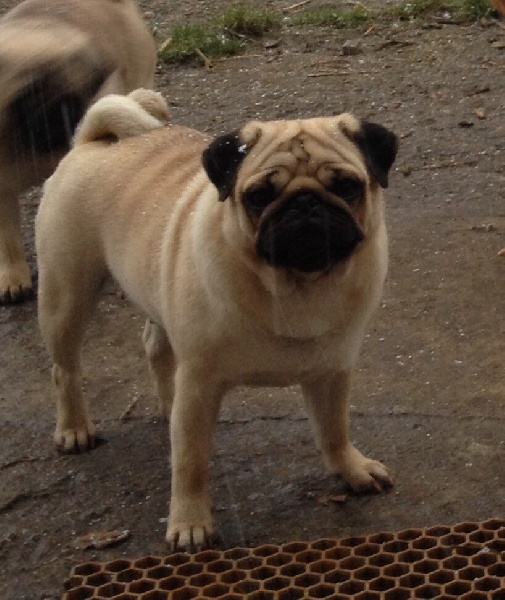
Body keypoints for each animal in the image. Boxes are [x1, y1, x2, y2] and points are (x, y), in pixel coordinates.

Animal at [36, 89, 399, 551]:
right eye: (259, 196)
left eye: (347, 186)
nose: (305, 204)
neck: (299, 285)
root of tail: (92, 141)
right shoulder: (200, 383)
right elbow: (190, 462)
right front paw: (190, 523)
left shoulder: (332, 372)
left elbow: (335, 430)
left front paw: (351, 470)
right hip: (66, 294)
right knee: (64, 369)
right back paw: (75, 428)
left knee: (154, 346)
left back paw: (164, 402)